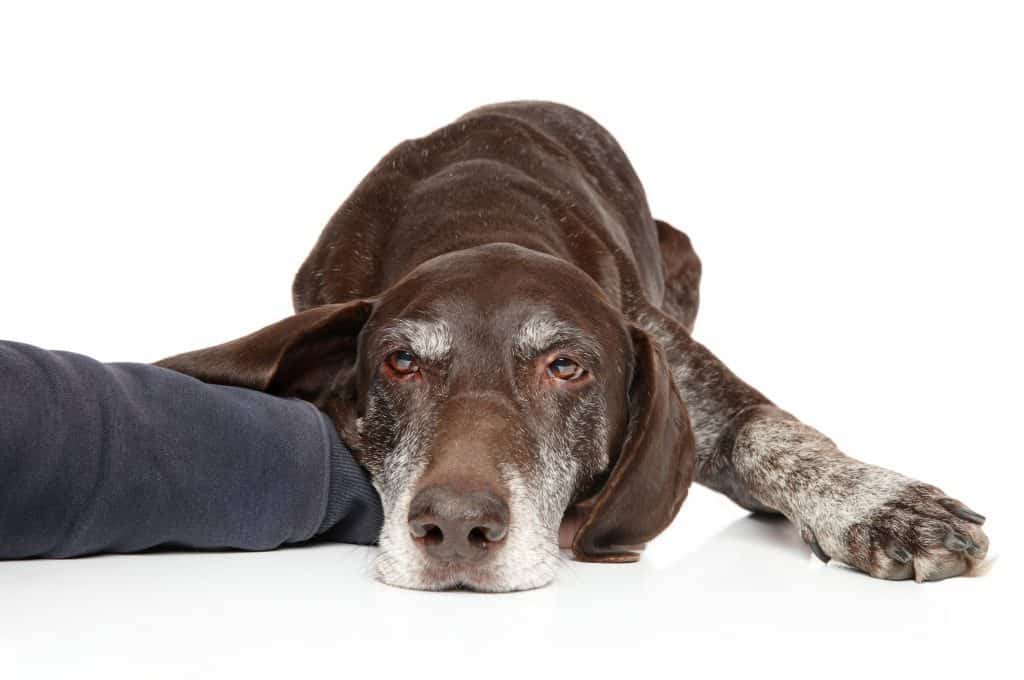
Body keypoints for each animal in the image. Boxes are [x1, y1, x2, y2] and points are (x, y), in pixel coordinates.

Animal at [155, 99, 987, 589]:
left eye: (566, 367)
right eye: (401, 362)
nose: (455, 528)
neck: (476, 223)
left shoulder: (684, 376)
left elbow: (777, 439)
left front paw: (881, 504)